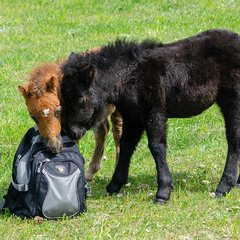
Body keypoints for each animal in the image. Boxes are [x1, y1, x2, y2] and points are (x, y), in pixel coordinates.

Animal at [18, 47, 123, 179]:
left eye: (57, 110)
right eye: (33, 116)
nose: (53, 146)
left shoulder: (74, 129)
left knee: (117, 132)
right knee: (103, 131)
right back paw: (90, 172)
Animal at [60, 29, 240, 203]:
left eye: (80, 99)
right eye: (64, 98)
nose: (73, 132)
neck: (129, 76)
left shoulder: (154, 112)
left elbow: (156, 146)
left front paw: (163, 191)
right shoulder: (133, 117)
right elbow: (126, 146)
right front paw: (114, 185)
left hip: (232, 99)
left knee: (233, 139)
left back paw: (224, 186)